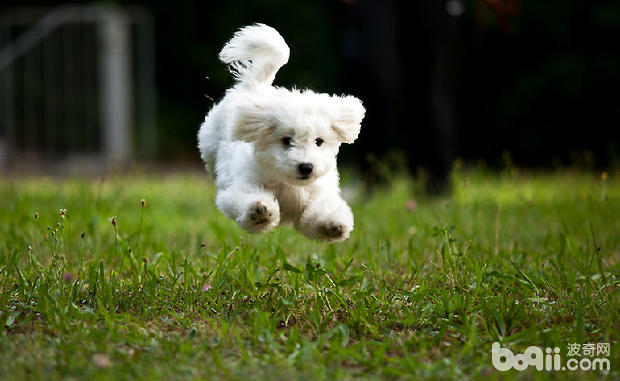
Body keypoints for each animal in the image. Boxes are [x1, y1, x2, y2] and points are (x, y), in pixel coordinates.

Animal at [197, 23, 364, 242]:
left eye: (319, 141)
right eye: (286, 140)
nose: (306, 167)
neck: (288, 184)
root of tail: (255, 87)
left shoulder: (315, 196)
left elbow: (317, 215)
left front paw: (333, 224)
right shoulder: (241, 188)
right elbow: (245, 200)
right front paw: (259, 211)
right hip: (209, 142)